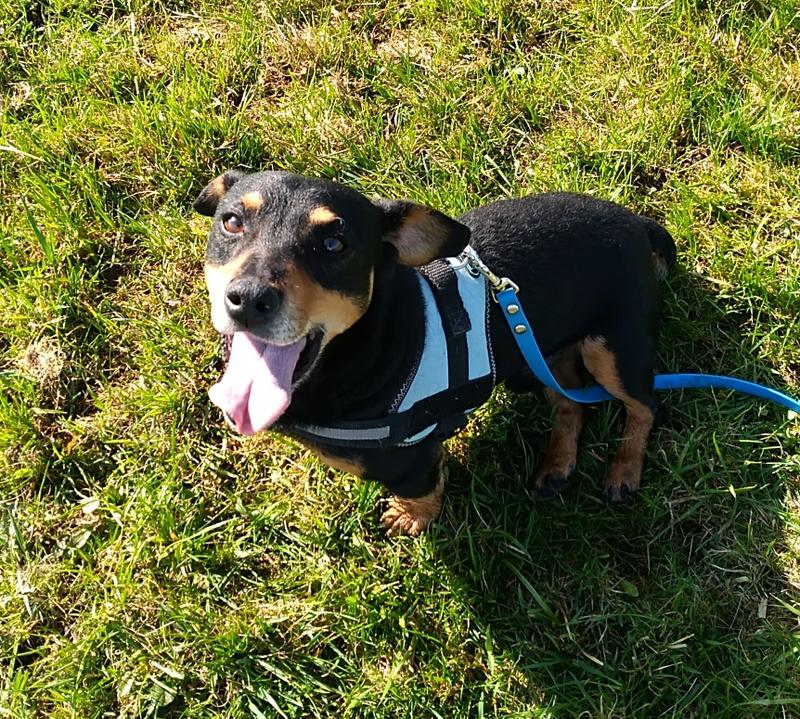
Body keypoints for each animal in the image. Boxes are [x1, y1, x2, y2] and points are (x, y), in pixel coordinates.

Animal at [194, 170, 676, 536]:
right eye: (231, 222)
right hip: (546, 352)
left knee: (645, 405)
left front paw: (412, 518)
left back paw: (624, 472)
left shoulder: (415, 458)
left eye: (334, 245)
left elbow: (423, 490)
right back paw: (557, 466)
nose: (249, 299)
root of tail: (639, 225)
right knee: (571, 405)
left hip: (613, 348)